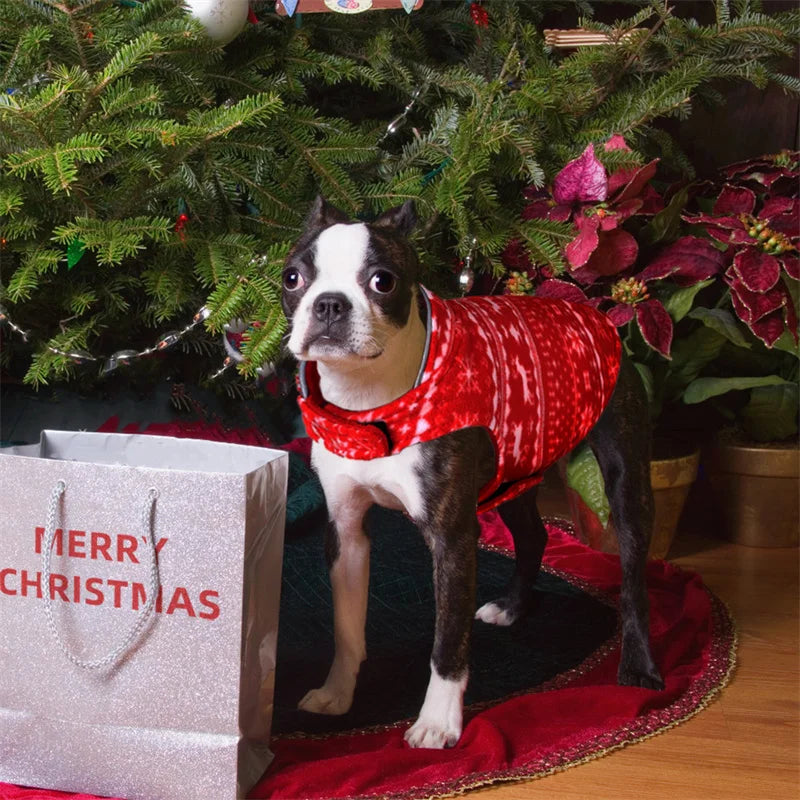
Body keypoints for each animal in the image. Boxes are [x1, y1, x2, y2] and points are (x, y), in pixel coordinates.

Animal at [280, 194, 664, 752]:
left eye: (382, 281)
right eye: (292, 277)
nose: (329, 303)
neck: (370, 402)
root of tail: (588, 310)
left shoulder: (452, 538)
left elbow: (448, 639)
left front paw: (438, 721)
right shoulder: (346, 531)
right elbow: (347, 627)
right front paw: (337, 693)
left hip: (625, 475)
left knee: (634, 577)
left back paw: (638, 665)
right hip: (517, 467)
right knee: (533, 534)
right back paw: (512, 606)